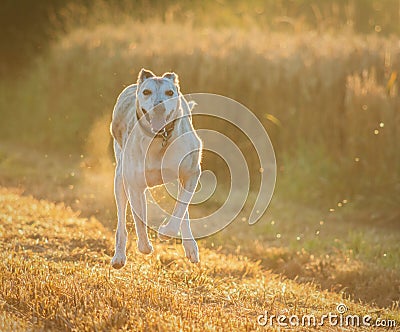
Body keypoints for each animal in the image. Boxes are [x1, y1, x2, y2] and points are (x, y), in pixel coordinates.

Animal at [109, 67, 202, 268]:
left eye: (169, 93)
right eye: (146, 92)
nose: (159, 106)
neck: (160, 137)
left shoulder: (191, 174)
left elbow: (180, 210)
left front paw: (166, 232)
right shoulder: (135, 185)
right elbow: (139, 220)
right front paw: (145, 246)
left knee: (182, 209)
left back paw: (190, 246)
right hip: (120, 178)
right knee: (121, 219)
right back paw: (119, 255)